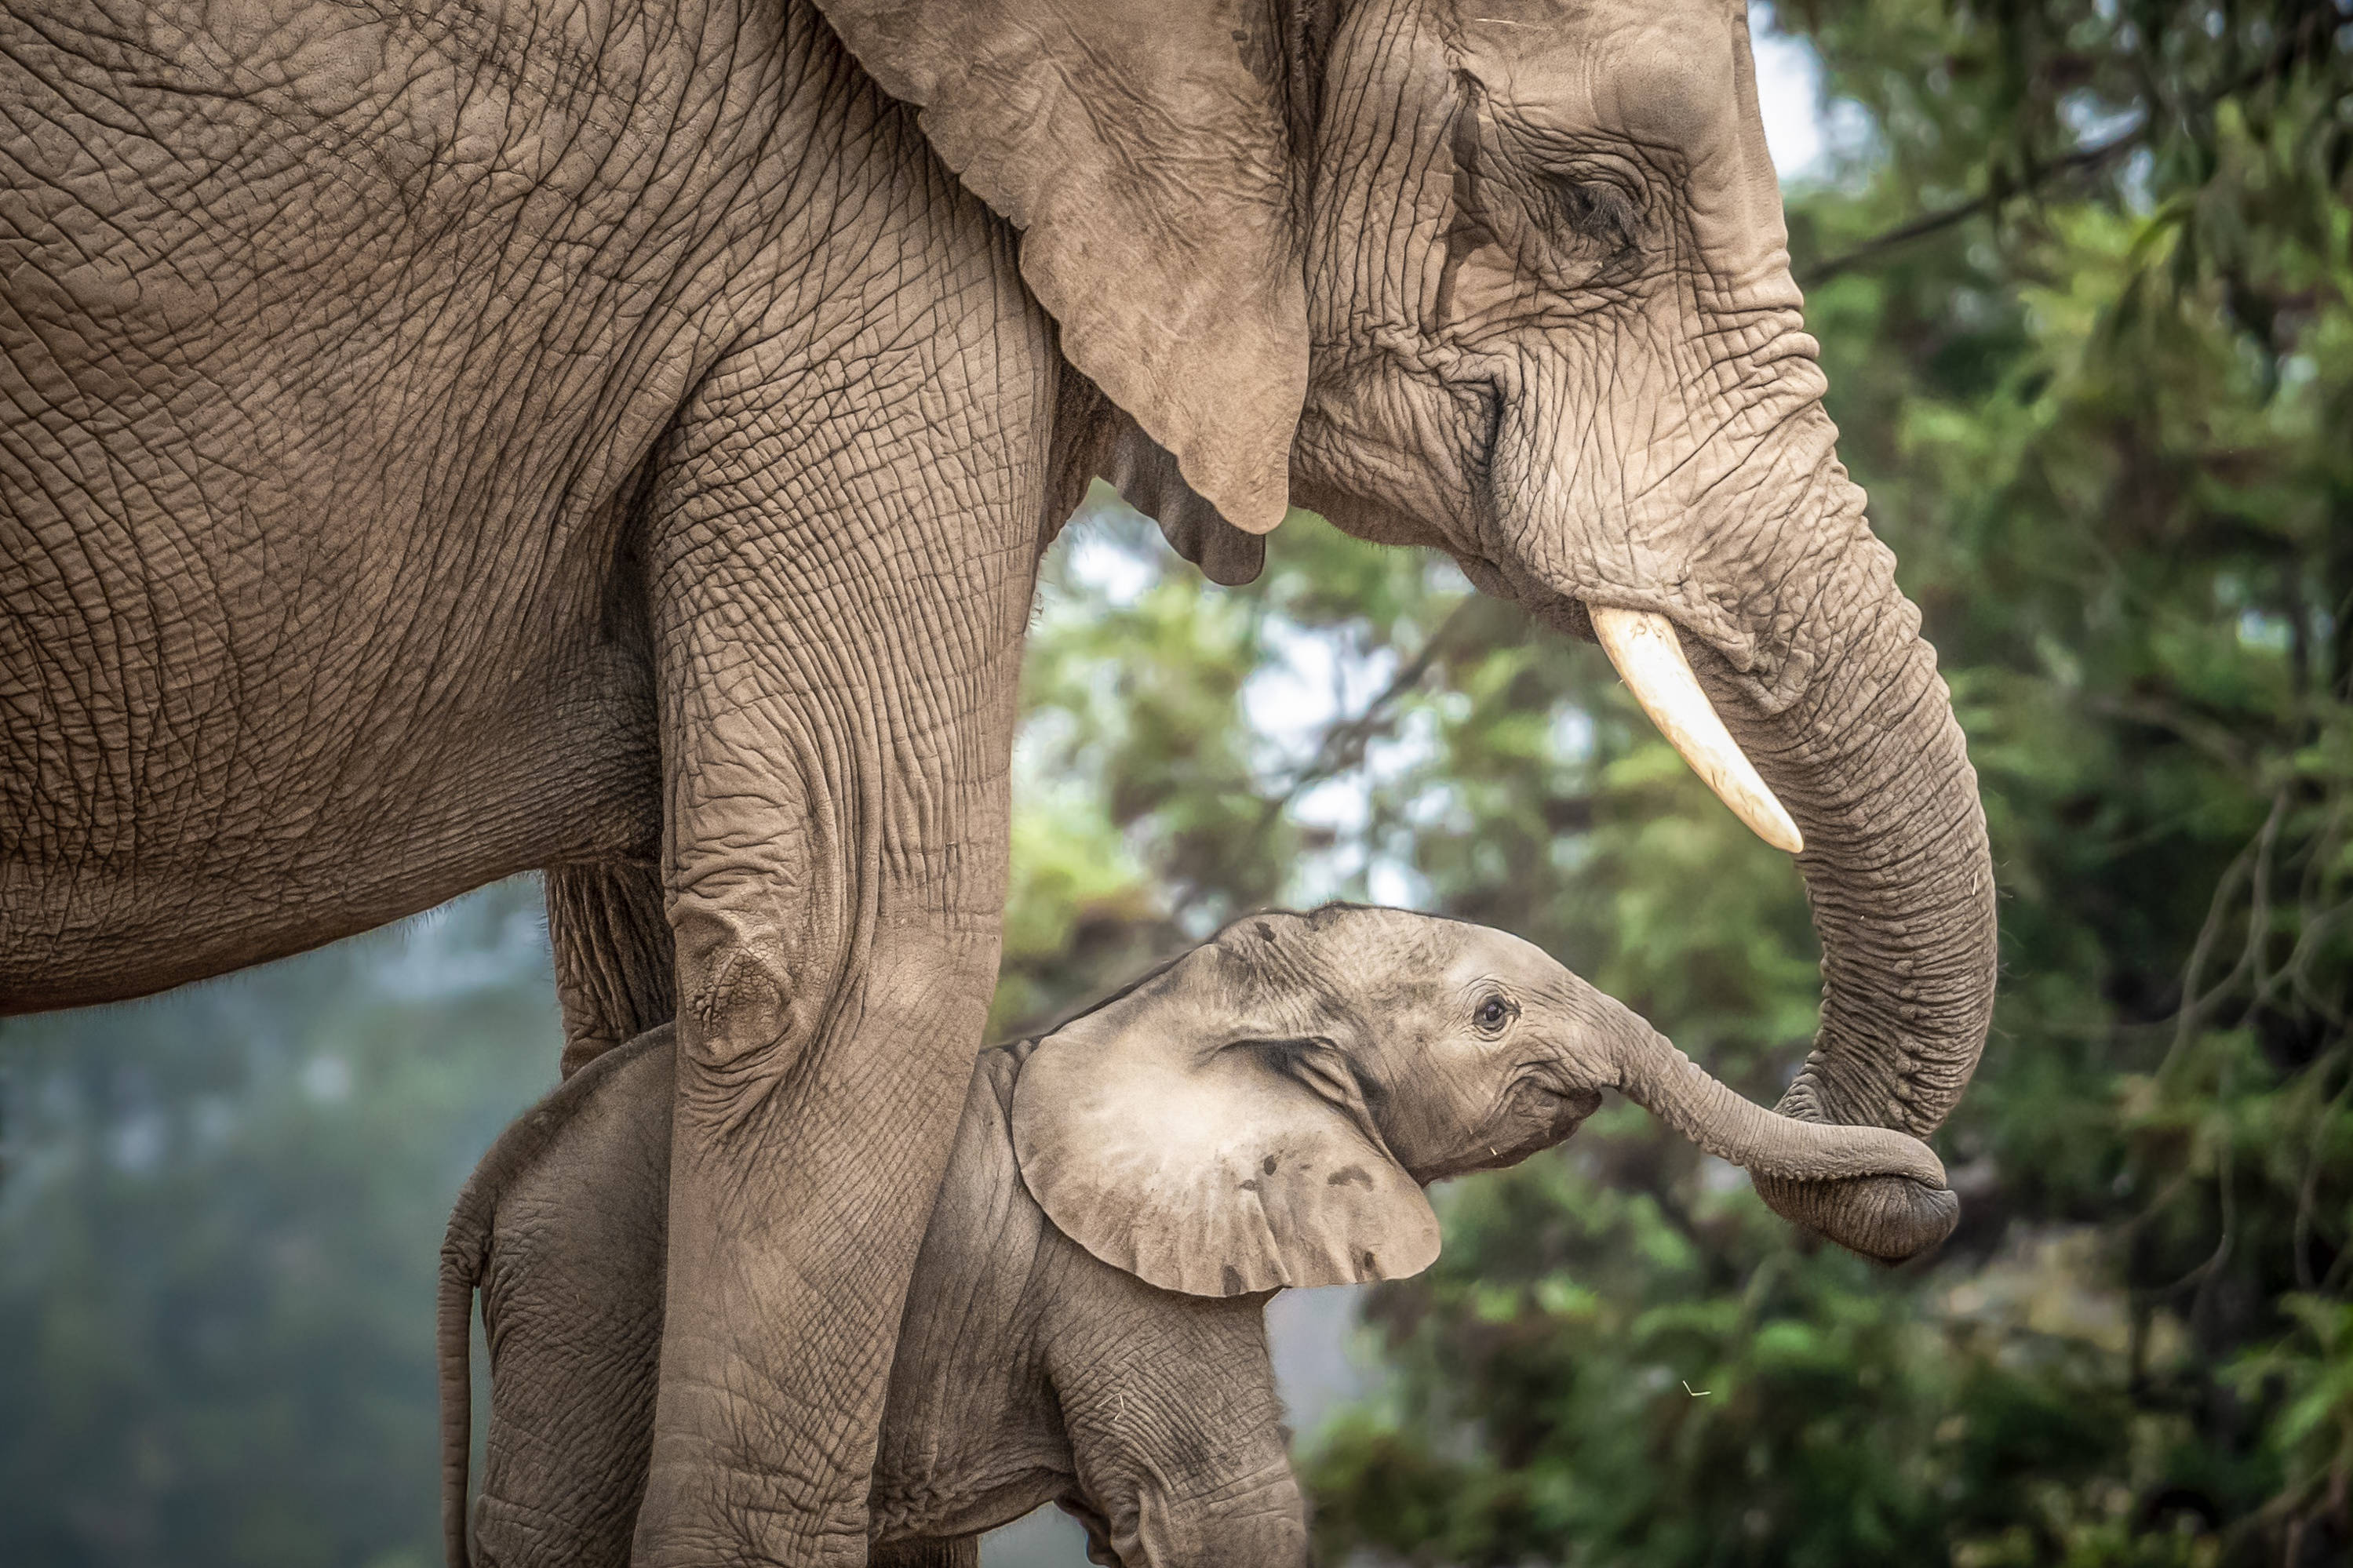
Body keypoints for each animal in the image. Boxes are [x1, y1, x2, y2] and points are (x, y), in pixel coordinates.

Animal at [440, 906, 1949, 1568]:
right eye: (1491, 1015)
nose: (1928, 1196)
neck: (1185, 990)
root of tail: (497, 1172)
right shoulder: (1111, 1270)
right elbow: (1224, 1505)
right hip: (591, 1280)